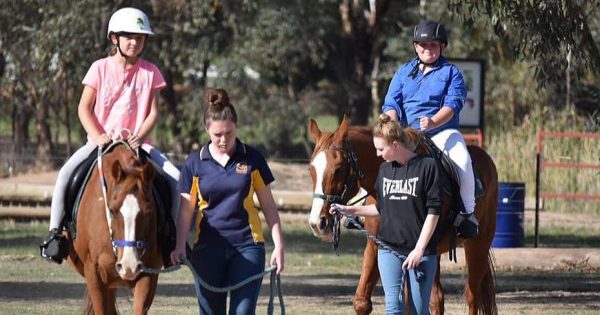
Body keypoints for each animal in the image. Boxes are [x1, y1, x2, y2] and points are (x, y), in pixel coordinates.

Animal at [308, 118, 500, 315]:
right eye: (311, 169)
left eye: (338, 169)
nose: (317, 223)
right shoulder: (377, 245)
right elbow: (363, 302)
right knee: (436, 299)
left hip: (478, 245)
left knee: (472, 295)